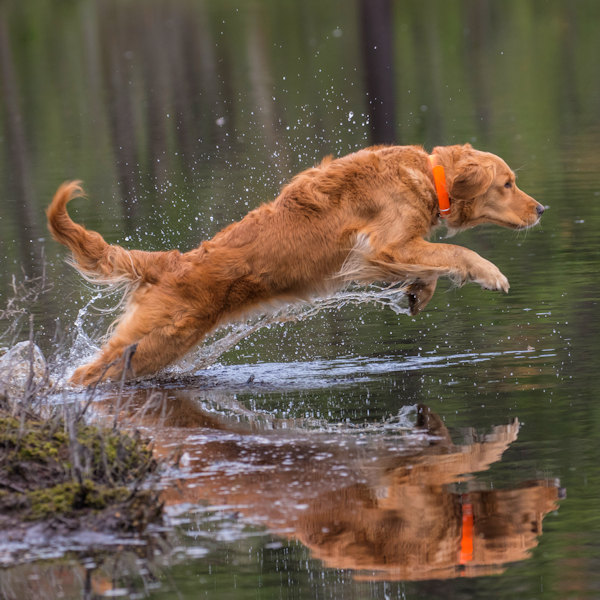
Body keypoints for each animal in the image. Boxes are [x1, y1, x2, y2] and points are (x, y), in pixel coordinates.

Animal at [47, 144, 544, 384]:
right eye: (508, 184)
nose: (542, 209)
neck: (427, 175)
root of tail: (169, 263)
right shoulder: (382, 247)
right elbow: (454, 254)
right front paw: (490, 274)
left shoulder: (390, 252)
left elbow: (433, 266)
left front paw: (418, 293)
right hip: (157, 341)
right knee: (86, 373)